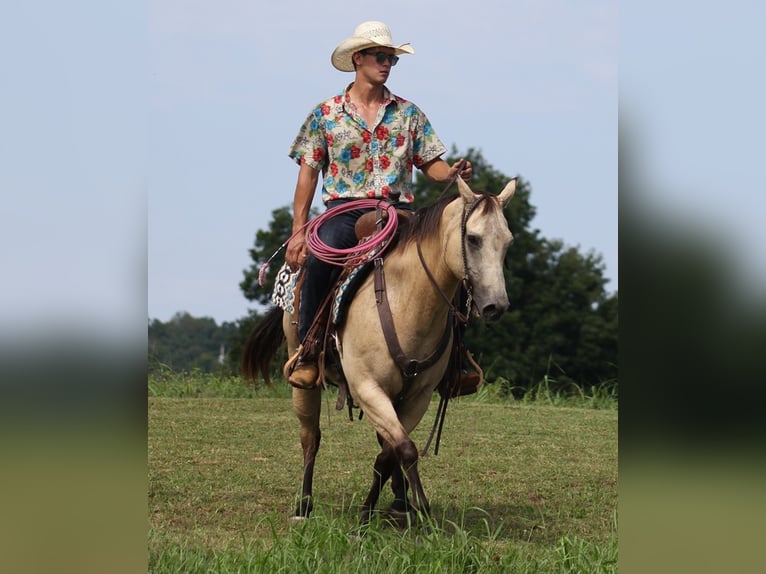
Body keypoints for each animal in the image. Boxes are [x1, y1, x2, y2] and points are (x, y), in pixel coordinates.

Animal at [242, 178, 516, 528]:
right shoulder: (367, 387)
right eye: (473, 238)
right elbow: (405, 449)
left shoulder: (417, 397)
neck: (407, 301)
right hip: (302, 379)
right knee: (310, 437)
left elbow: (390, 452)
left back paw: (398, 501)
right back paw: (303, 505)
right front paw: (419, 508)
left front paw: (385, 507)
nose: (497, 306)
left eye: (507, 241)